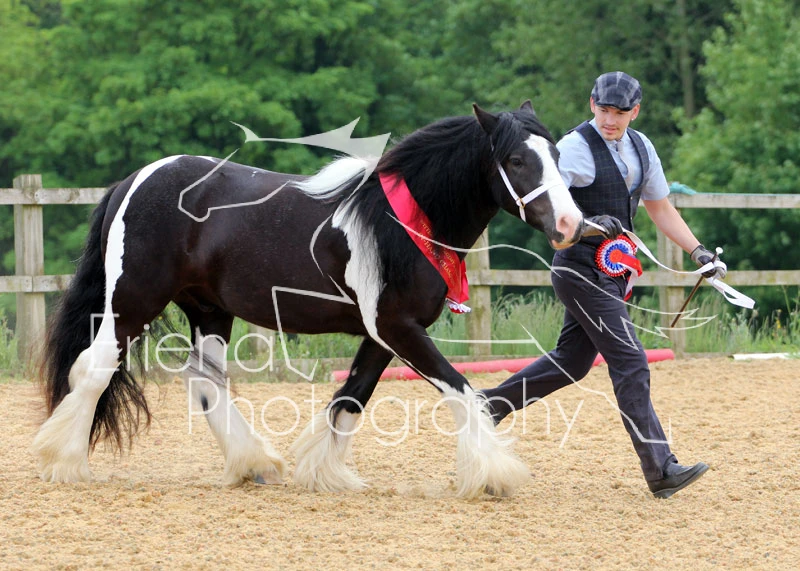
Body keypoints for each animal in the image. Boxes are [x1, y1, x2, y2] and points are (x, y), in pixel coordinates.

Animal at [32, 101, 585, 498]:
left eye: (558, 157)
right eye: (517, 160)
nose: (570, 224)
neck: (398, 225)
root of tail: (133, 181)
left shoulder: (382, 335)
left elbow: (351, 397)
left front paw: (323, 473)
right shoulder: (399, 328)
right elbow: (463, 391)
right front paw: (494, 474)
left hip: (209, 310)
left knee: (205, 382)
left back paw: (253, 464)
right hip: (133, 299)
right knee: (95, 368)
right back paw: (67, 463)